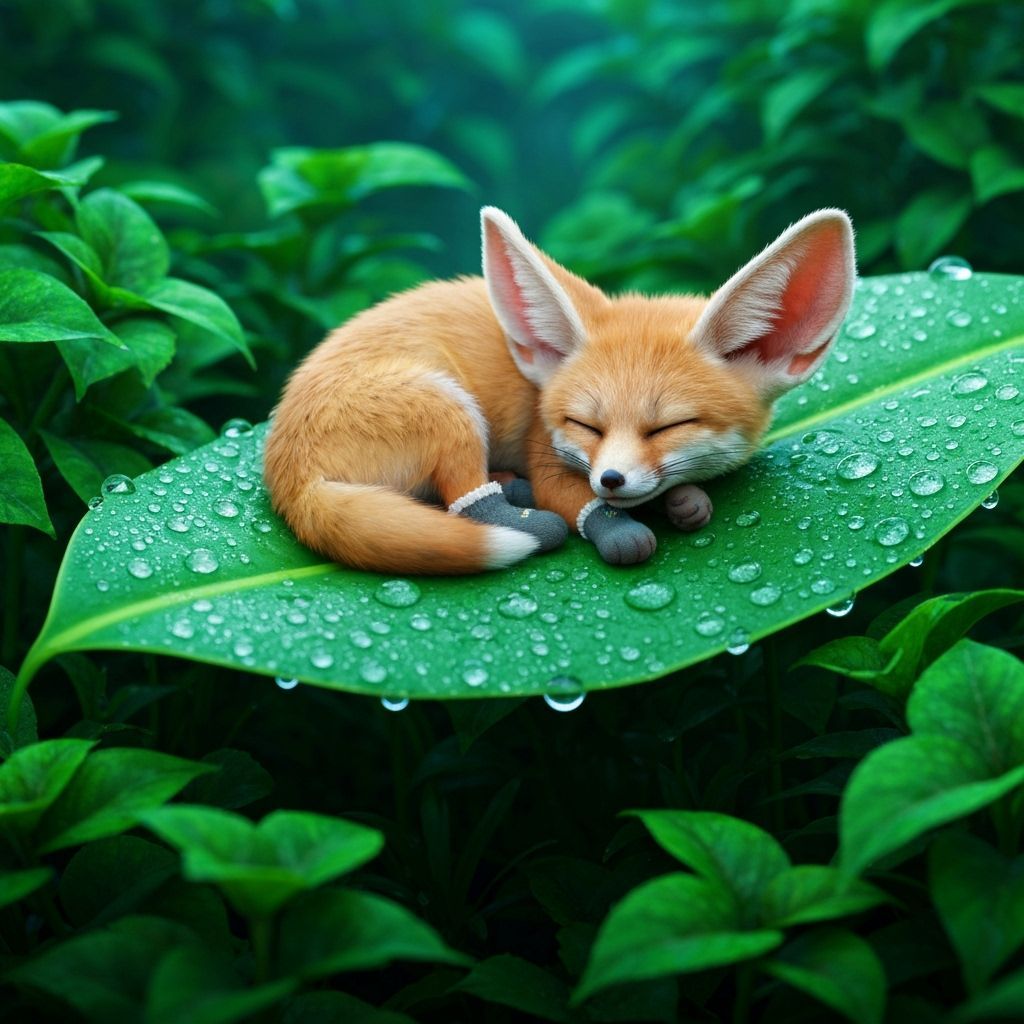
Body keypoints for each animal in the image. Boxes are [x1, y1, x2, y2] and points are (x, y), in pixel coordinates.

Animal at [263, 206, 856, 575]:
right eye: (584, 424)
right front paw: (620, 531)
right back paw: (527, 520)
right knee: (465, 501)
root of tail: (286, 474)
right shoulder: (544, 447)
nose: (611, 478)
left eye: (669, 426)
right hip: (448, 407)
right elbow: (575, 499)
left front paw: (682, 501)